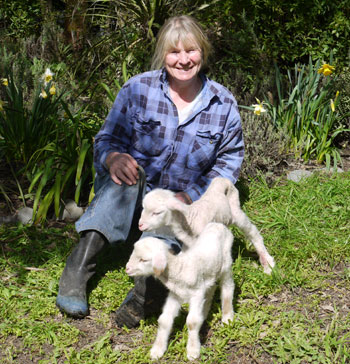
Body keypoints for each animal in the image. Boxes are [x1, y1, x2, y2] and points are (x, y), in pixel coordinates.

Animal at [126, 223, 235, 360]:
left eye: (143, 260)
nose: (127, 268)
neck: (179, 269)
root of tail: (218, 224)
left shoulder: (196, 293)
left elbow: (192, 322)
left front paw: (193, 350)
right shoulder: (176, 295)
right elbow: (164, 320)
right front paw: (157, 350)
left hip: (226, 264)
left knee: (227, 287)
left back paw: (227, 318)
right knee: (211, 289)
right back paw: (204, 313)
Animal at [138, 176, 274, 272]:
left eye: (157, 212)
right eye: (143, 208)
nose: (140, 225)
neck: (189, 220)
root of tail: (221, 181)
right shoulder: (189, 245)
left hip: (236, 212)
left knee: (253, 233)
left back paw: (267, 264)